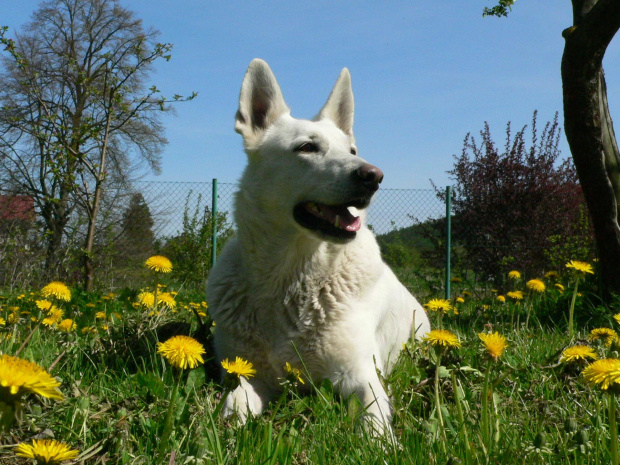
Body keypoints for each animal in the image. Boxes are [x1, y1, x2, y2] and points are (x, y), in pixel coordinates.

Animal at [208, 58, 432, 436]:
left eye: (352, 151)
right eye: (307, 147)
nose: (373, 176)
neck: (292, 278)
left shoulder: (359, 375)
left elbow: (374, 422)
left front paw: (380, 442)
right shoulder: (247, 371)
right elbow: (236, 401)